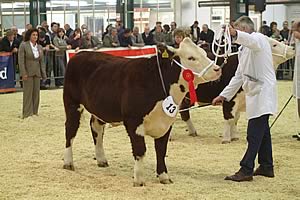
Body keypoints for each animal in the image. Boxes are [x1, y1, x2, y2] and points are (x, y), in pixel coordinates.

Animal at [62, 37, 220, 186]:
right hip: (72, 104)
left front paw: (164, 176)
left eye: (204, 53)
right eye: (191, 57)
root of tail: (81, 54)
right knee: (70, 130)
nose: (217, 69)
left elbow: (161, 150)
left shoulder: (166, 123)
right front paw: (138, 179)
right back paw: (68, 162)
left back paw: (101, 159)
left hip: (100, 108)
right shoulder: (133, 121)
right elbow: (140, 150)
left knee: (96, 129)